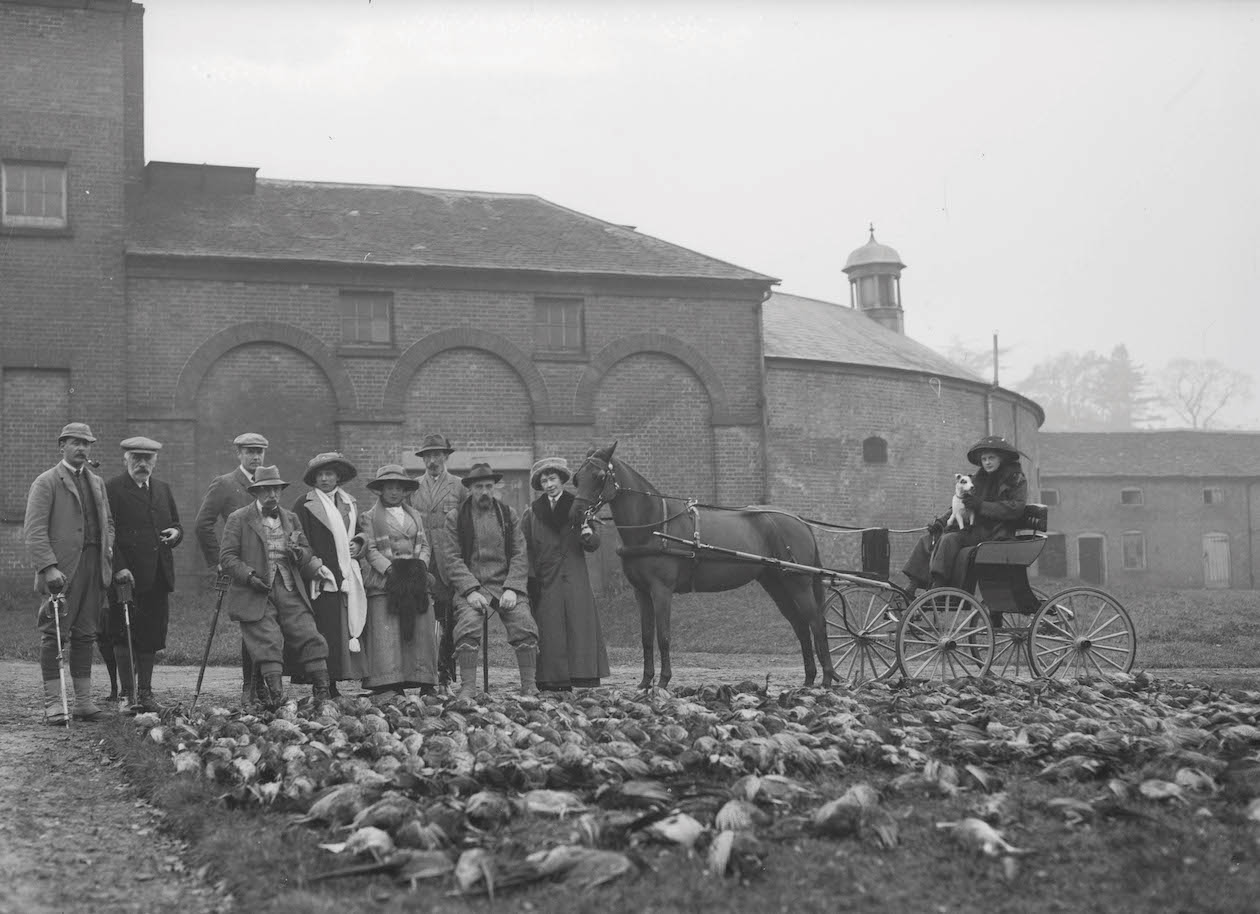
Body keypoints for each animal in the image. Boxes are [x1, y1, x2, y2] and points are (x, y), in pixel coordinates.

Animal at [572, 438, 836, 685]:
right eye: (576, 478)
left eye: (599, 476)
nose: (575, 513)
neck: (653, 525)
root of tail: (798, 520)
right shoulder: (641, 592)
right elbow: (646, 637)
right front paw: (645, 682)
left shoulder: (661, 590)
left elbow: (663, 636)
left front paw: (663, 680)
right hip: (775, 583)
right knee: (800, 625)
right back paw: (809, 679)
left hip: (798, 583)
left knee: (816, 623)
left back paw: (826, 678)